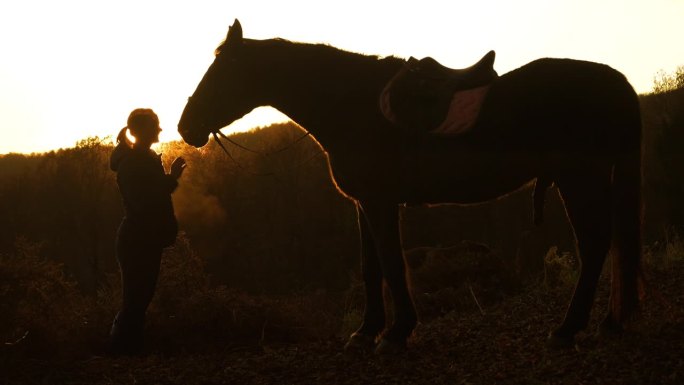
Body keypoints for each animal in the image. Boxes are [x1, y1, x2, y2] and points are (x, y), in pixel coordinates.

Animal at [179, 19, 644, 352]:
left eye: (222, 71)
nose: (186, 127)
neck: (351, 105)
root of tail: (616, 81)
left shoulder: (381, 203)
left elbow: (390, 263)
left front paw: (396, 333)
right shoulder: (365, 203)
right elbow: (370, 268)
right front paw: (366, 333)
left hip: (579, 179)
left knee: (594, 244)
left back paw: (567, 329)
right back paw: (607, 322)